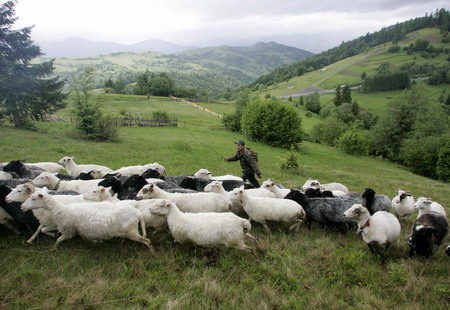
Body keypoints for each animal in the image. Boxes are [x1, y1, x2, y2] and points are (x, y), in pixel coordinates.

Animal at [21, 190, 153, 251]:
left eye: (33, 199)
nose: (22, 207)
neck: (61, 209)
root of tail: (138, 213)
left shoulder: (68, 231)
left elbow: (59, 239)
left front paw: (53, 248)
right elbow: (44, 229)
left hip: (132, 232)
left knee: (147, 241)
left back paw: (152, 252)